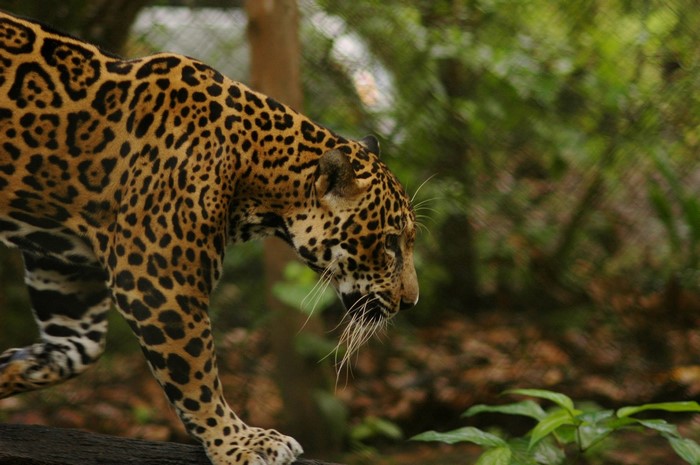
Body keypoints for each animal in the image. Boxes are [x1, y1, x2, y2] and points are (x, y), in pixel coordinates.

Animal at [0, 8, 419, 465]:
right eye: (390, 242)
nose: (410, 302)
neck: (257, 170)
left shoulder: (63, 269)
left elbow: (73, 351)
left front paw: (9, 368)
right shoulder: (157, 287)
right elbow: (196, 379)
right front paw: (240, 442)